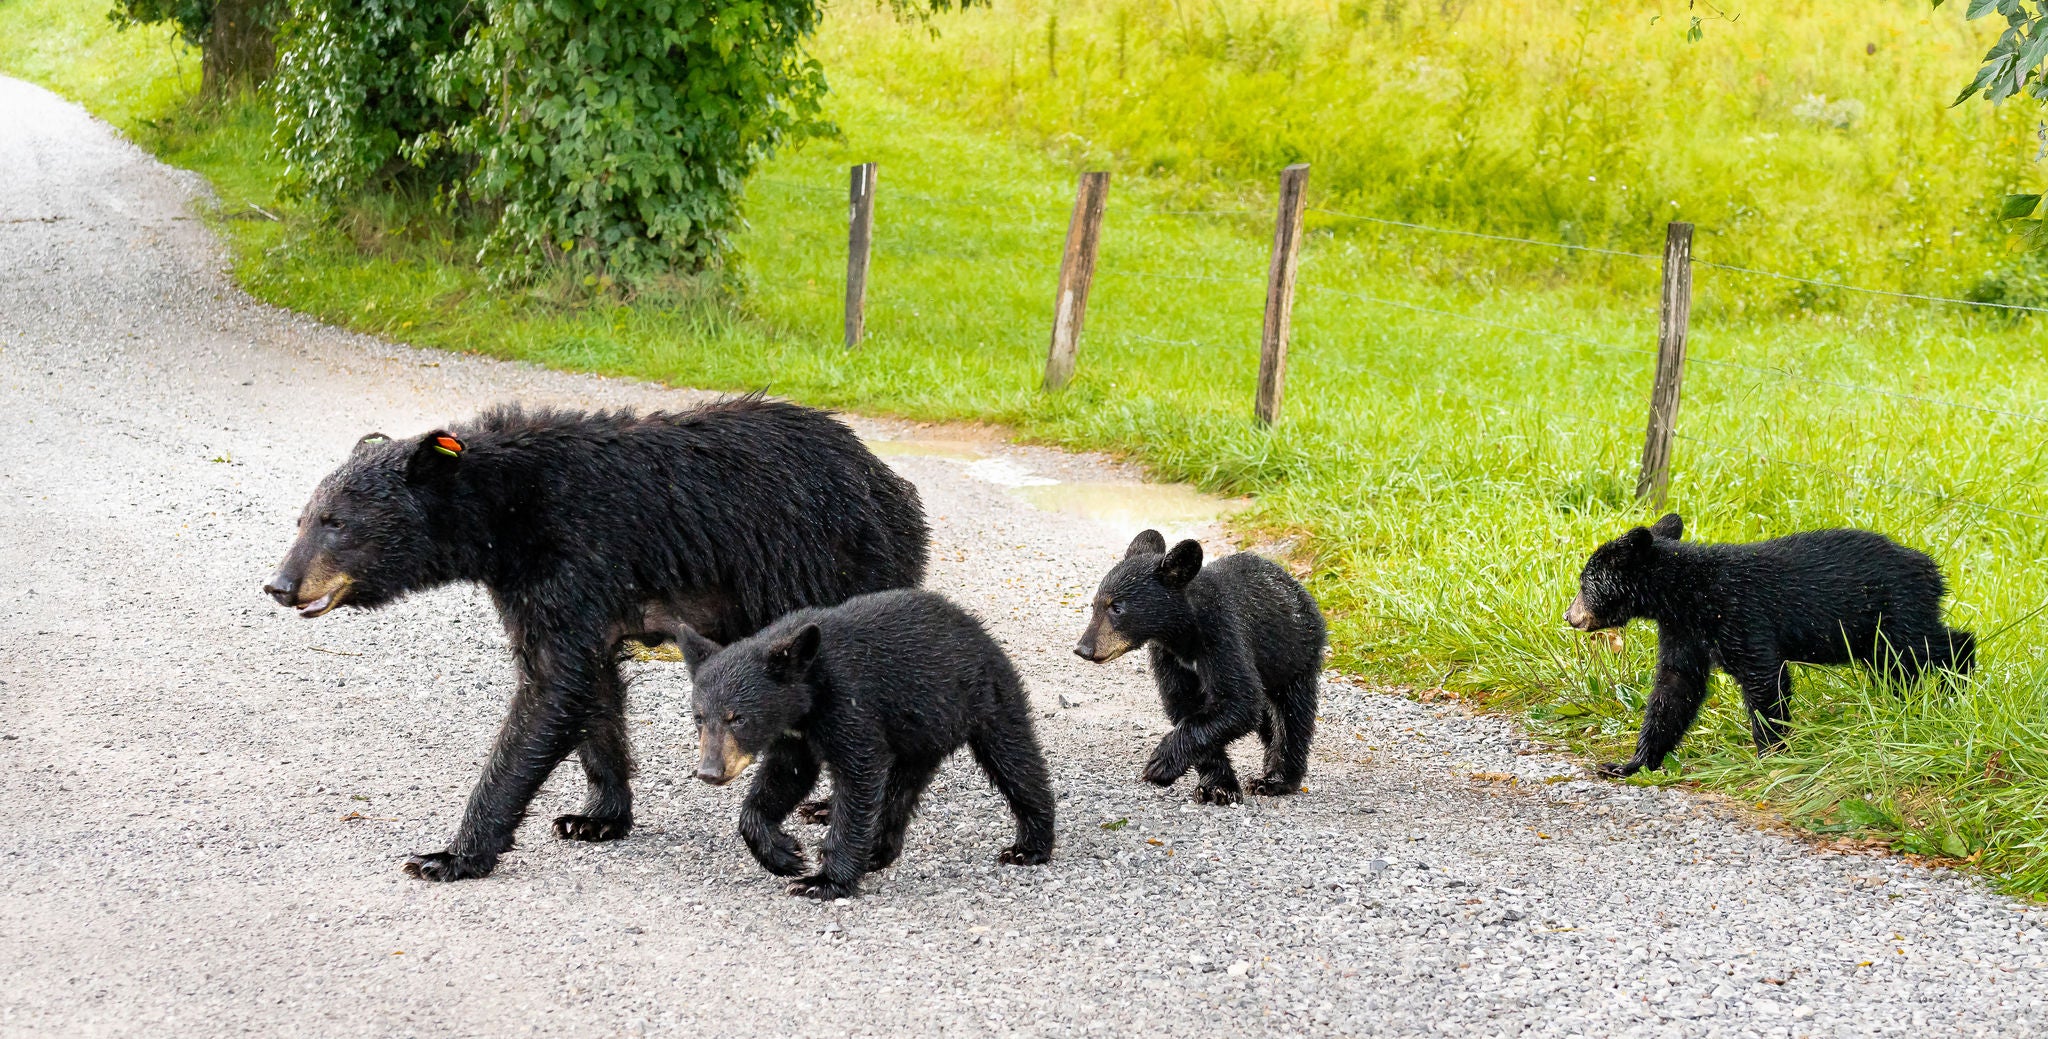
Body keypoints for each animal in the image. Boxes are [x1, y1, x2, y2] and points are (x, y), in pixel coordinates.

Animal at [264, 395, 929, 877]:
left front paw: (450, 854)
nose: (279, 583)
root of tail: (893, 483)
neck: (509, 517)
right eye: (302, 518)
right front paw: (598, 816)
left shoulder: (576, 555)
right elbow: (592, 688)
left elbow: (550, 690)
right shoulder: (556, 592)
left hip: (840, 567)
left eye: (336, 522)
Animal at [679, 590, 1056, 897]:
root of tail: (982, 633)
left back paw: (1029, 846)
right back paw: (869, 845)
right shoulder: (795, 735)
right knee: (900, 790)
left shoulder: (851, 703)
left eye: (738, 717)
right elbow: (786, 776)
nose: (709, 771)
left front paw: (823, 881)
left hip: (987, 698)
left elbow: (859, 774)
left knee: (1014, 760)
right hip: (919, 734)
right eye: (699, 716)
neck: (809, 691)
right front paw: (784, 855)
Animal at [1073, 532, 1327, 807]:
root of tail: (1299, 588)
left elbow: (1239, 701)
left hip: (1295, 656)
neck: (1184, 635)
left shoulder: (1223, 635)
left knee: (1291, 717)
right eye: (1094, 605)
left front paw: (1160, 763)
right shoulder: (1168, 656)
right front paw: (1217, 786)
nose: (1083, 648)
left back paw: (1275, 780)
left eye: (1117, 607)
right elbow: (1185, 704)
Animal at [1564, 516, 1966, 778]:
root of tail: (1932, 568)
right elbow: (1675, 688)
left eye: (1585, 582)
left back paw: (1957, 684)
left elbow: (1764, 679)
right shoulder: (1682, 632)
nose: (1569, 615)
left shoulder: (1742, 614)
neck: (1689, 593)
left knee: (1933, 647)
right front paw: (1629, 763)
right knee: (1898, 666)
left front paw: (1772, 756)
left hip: (1894, 612)